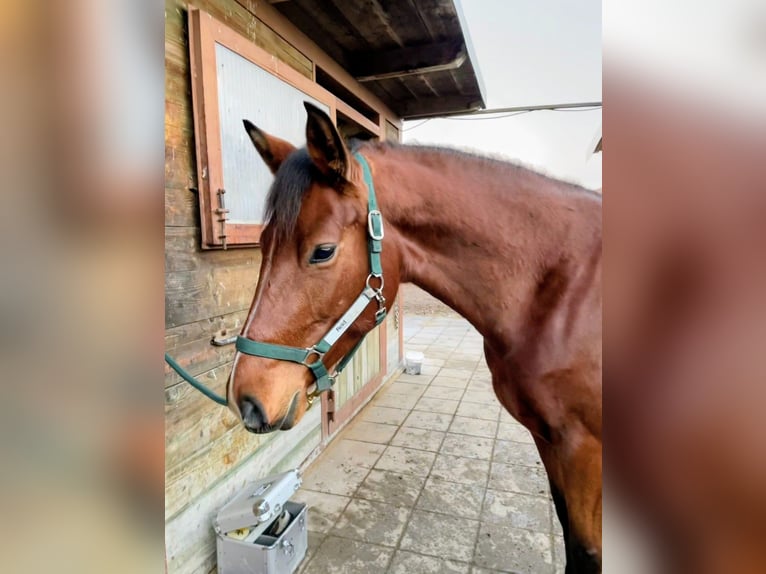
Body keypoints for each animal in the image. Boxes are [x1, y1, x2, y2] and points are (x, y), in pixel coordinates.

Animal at [228, 102, 602, 573]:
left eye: (323, 251)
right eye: (262, 243)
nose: (246, 400)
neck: (561, 290)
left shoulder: (584, 452)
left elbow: (587, 552)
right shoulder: (549, 440)